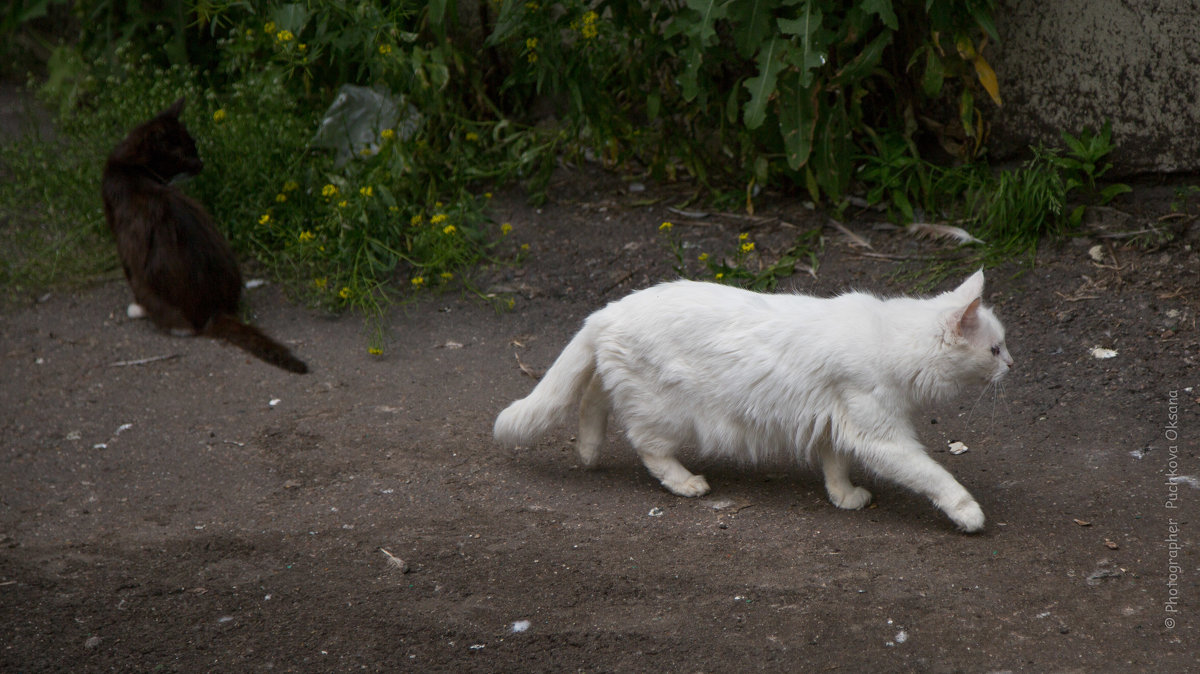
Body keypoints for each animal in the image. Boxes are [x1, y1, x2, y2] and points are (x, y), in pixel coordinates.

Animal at [496, 268, 1012, 530]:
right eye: (994, 348)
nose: (1012, 364)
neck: (895, 342)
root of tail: (610, 307)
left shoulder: (837, 423)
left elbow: (835, 464)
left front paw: (843, 496)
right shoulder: (881, 436)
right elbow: (932, 473)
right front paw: (967, 511)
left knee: (593, 398)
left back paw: (587, 450)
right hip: (666, 412)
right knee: (646, 446)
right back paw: (685, 483)